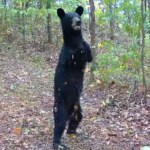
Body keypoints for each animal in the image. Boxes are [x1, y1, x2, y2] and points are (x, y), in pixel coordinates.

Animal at [53, 5, 92, 149]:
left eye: (78, 15)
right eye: (70, 17)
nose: (78, 22)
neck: (75, 40)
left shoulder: (86, 53)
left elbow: (89, 55)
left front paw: (85, 47)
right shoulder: (66, 54)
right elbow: (71, 58)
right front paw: (79, 51)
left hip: (77, 107)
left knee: (77, 117)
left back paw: (72, 131)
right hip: (61, 104)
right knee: (59, 122)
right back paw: (57, 143)